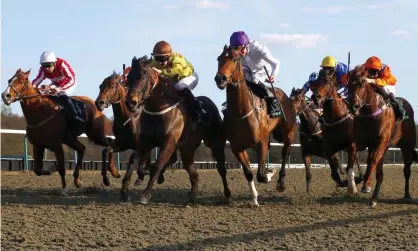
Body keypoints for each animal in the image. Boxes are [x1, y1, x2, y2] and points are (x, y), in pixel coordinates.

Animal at [121, 56, 232, 205]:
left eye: (143, 76)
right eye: (129, 77)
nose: (130, 103)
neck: (158, 109)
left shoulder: (169, 141)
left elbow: (158, 164)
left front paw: (145, 194)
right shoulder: (146, 140)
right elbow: (134, 160)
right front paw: (124, 191)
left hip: (215, 143)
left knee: (221, 168)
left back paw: (227, 195)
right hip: (187, 149)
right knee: (194, 173)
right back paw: (192, 197)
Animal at [216, 45, 298, 206]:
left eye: (234, 59)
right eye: (218, 58)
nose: (220, 78)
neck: (241, 111)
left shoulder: (261, 143)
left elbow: (260, 175)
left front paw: (269, 173)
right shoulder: (237, 148)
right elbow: (248, 173)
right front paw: (254, 198)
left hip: (288, 133)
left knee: (285, 153)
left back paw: (280, 183)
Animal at [344, 65, 416, 207]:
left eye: (361, 84)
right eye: (348, 84)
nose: (353, 106)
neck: (370, 113)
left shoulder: (380, 143)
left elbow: (372, 160)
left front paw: (366, 185)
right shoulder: (361, 142)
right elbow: (351, 161)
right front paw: (352, 187)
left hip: (406, 146)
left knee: (406, 170)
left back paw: (407, 195)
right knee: (380, 174)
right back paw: (374, 199)